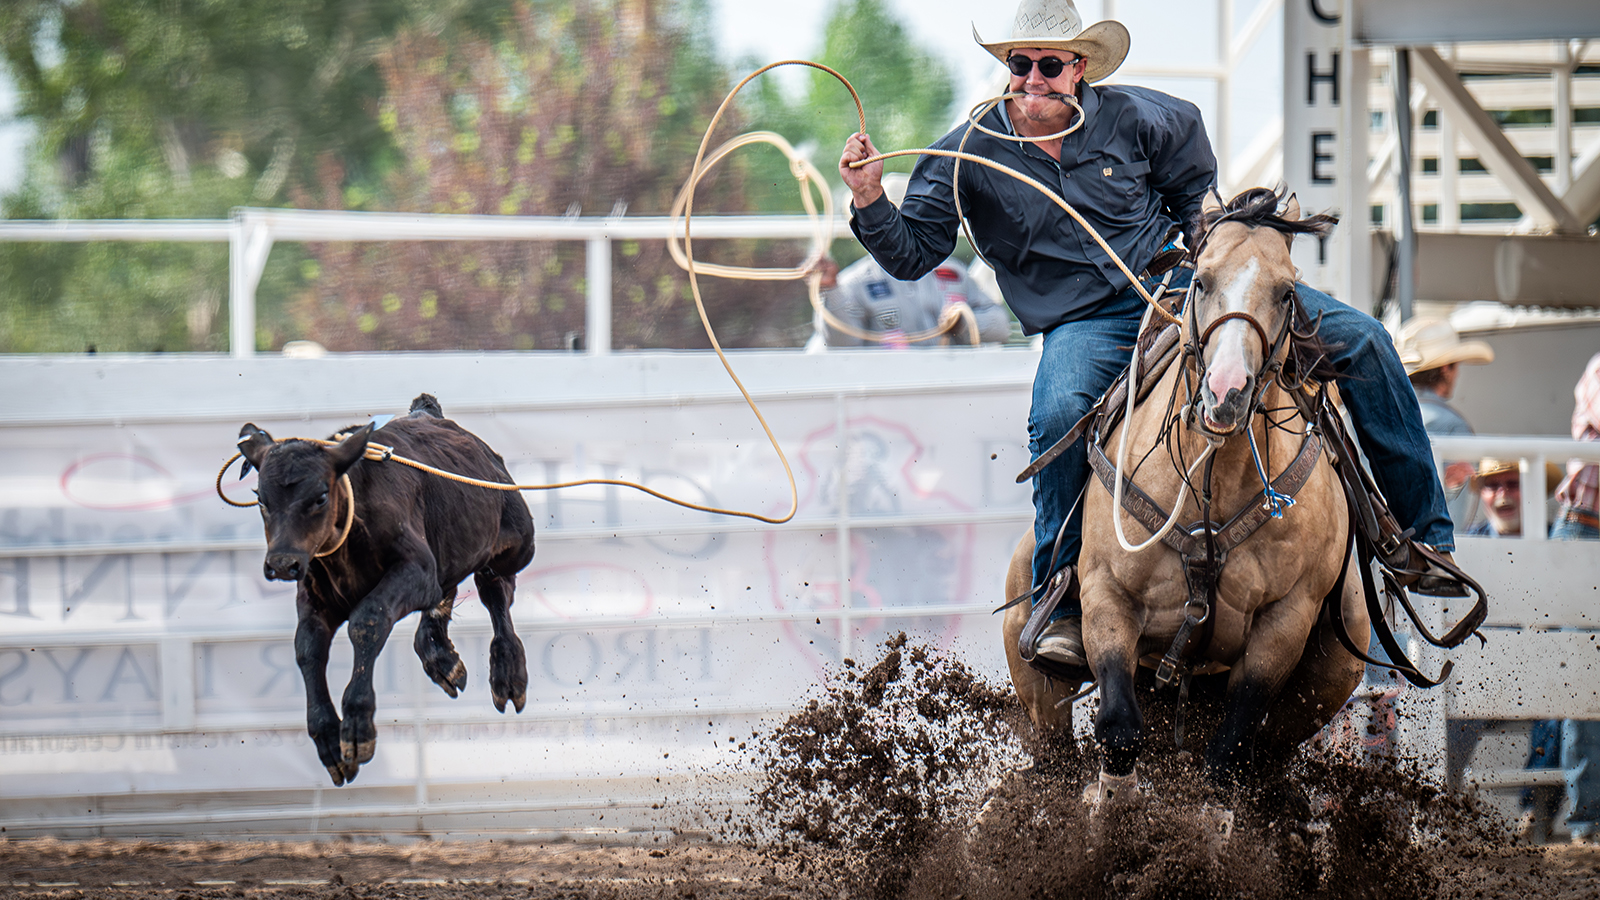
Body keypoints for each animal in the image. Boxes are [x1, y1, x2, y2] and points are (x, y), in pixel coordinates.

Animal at [235, 395, 537, 781]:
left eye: (320, 496)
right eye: (261, 498)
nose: (282, 563)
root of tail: (427, 411)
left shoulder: (415, 568)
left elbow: (367, 619)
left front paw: (357, 727)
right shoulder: (315, 596)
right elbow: (307, 647)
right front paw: (328, 738)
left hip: (517, 544)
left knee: (494, 588)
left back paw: (507, 674)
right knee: (447, 589)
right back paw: (442, 658)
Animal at [998, 187, 1376, 797]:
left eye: (1287, 290)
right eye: (1201, 279)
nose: (1226, 391)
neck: (1211, 480)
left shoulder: (1284, 620)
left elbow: (1230, 753)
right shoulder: (1106, 595)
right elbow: (1120, 731)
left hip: (1325, 676)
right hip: (1038, 688)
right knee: (1054, 754)